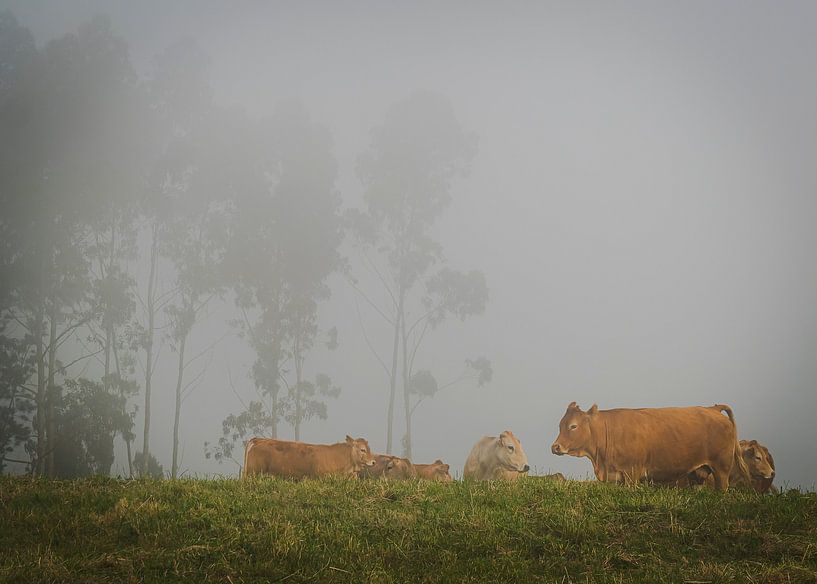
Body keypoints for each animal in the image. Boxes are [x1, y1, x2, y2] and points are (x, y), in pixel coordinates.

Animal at [550, 402, 751, 492]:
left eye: (573, 426)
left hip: (721, 469)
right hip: (698, 472)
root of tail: (712, 408)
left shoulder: (631, 474)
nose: (555, 447)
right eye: (560, 425)